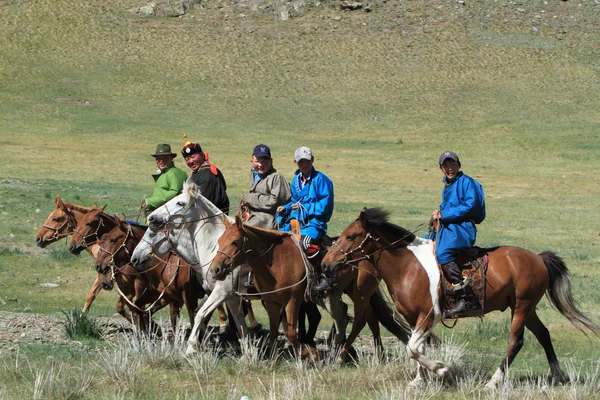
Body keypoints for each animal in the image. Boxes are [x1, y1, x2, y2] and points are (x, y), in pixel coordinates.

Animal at [322, 208, 600, 390]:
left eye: (351, 236)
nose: (325, 264)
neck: (407, 266)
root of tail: (538, 258)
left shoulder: (429, 316)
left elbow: (412, 348)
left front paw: (441, 370)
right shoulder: (413, 317)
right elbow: (416, 348)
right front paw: (419, 380)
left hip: (522, 307)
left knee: (516, 342)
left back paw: (493, 382)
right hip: (526, 308)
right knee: (543, 334)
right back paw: (557, 375)